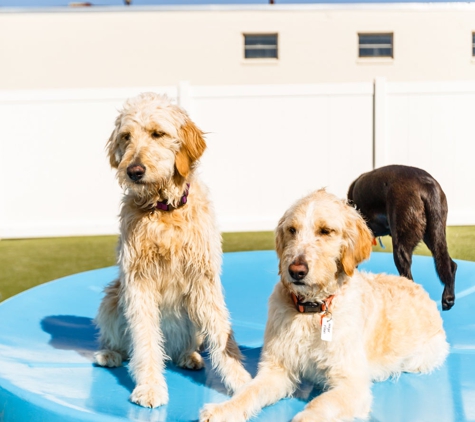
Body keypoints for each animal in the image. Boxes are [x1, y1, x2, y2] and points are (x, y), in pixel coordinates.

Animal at [350, 165, 458, 310]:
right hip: (434, 235)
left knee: (409, 280)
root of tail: (426, 183)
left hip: (401, 247)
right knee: (450, 264)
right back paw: (448, 298)